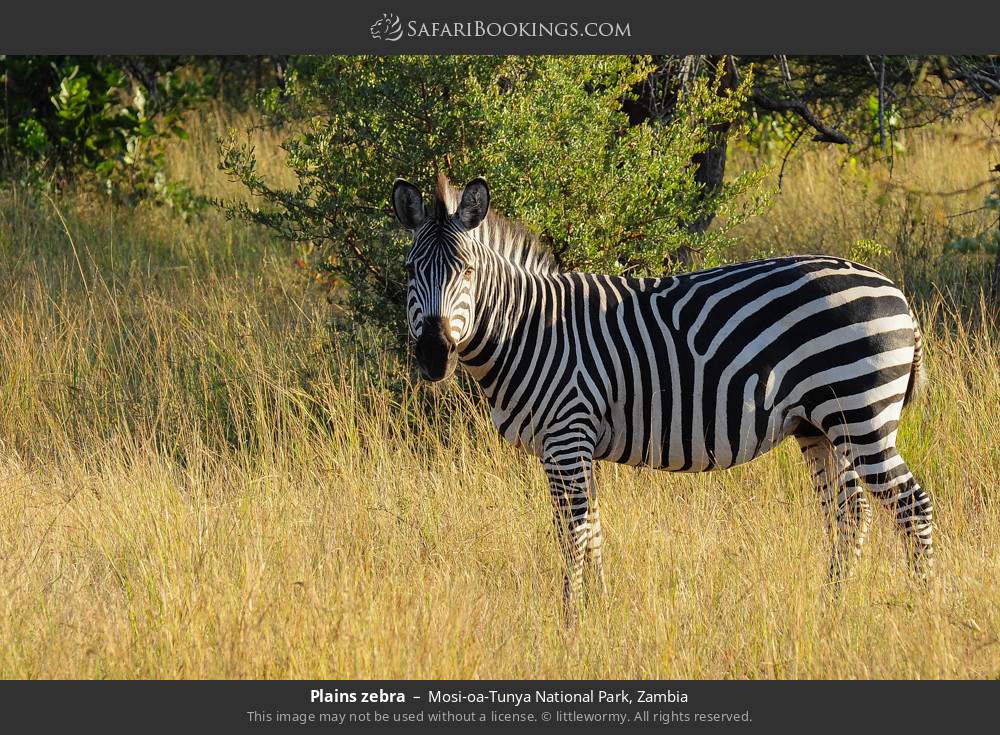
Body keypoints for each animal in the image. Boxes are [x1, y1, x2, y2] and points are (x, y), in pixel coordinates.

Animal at [388, 172, 928, 616]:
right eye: (411, 271)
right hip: (820, 425)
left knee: (911, 506)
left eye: (467, 272)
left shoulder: (565, 436)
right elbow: (595, 529)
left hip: (862, 415)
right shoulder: (578, 443)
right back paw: (831, 606)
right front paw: (600, 611)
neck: (527, 330)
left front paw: (570, 618)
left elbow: (572, 532)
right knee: (850, 512)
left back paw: (923, 605)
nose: (434, 354)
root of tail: (896, 292)